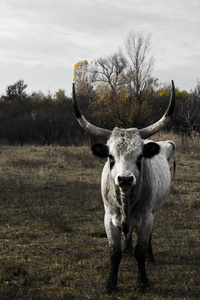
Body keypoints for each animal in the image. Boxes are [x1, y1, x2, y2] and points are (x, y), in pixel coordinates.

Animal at [72, 81, 176, 292]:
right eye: (110, 157)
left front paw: (143, 282)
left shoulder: (146, 218)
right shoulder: (109, 219)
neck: (126, 198)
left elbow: (140, 251)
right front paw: (111, 283)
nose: (125, 179)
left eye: (140, 157)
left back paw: (150, 257)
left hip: (153, 212)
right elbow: (115, 252)